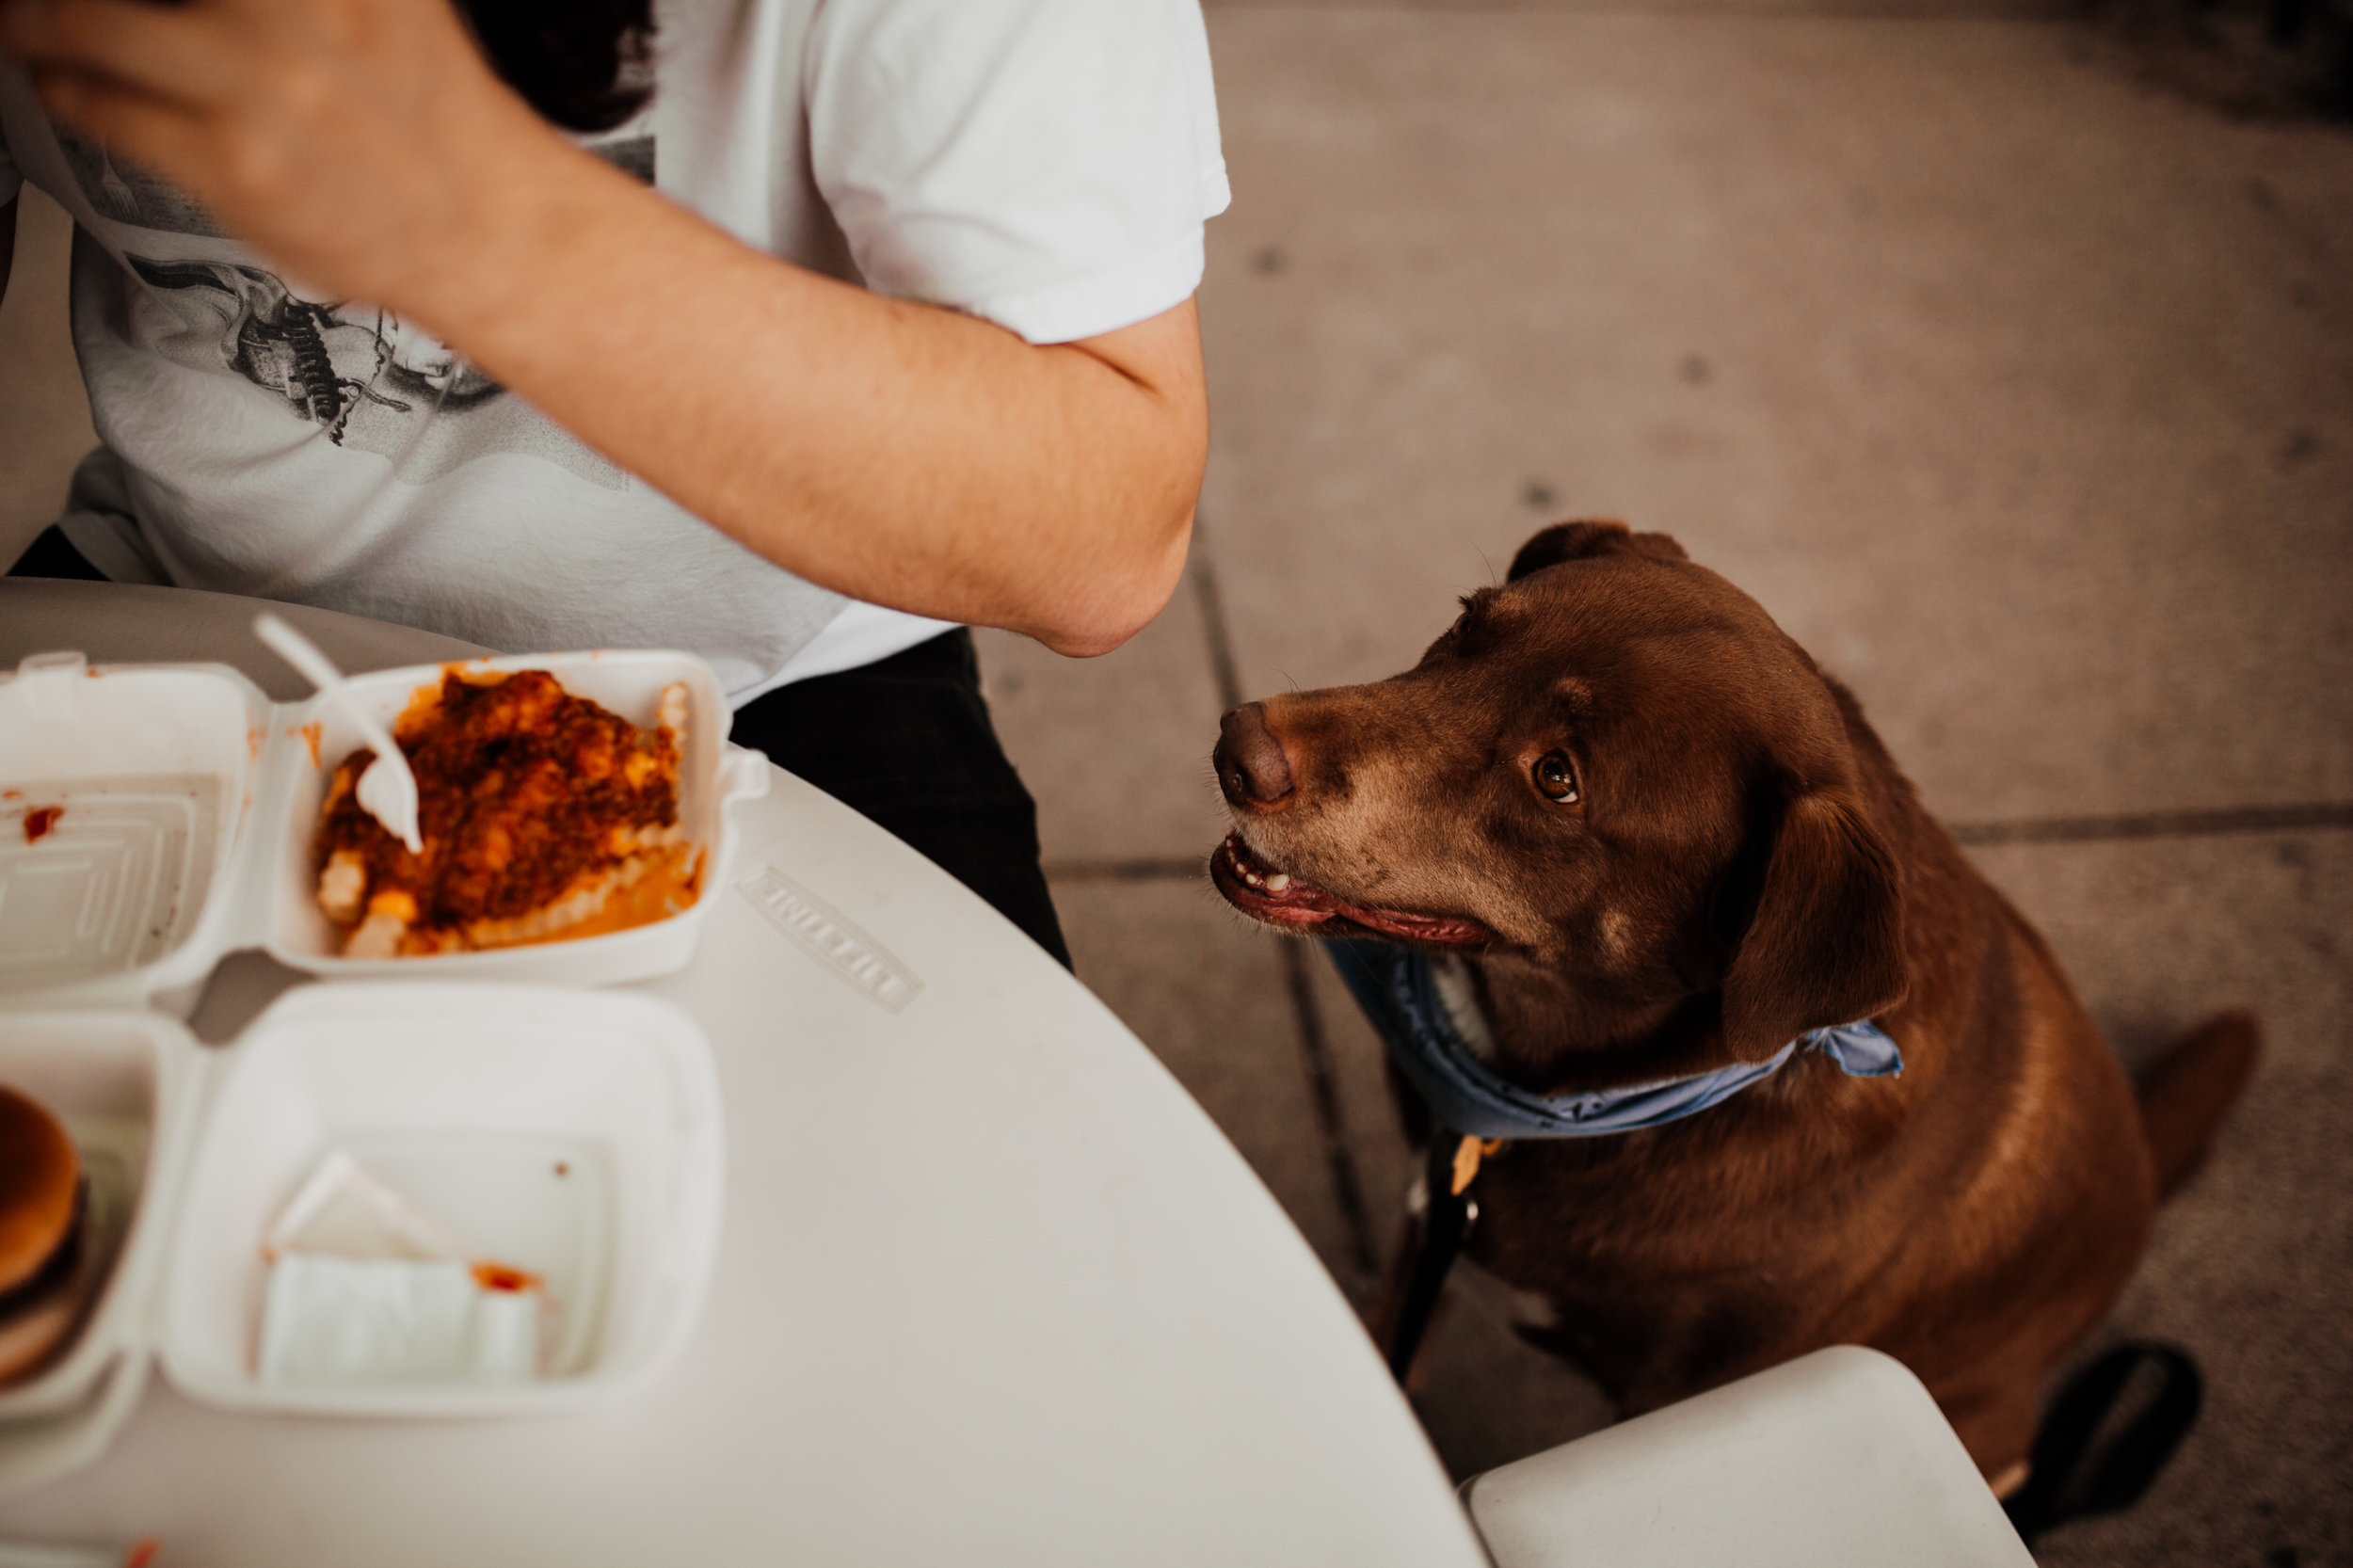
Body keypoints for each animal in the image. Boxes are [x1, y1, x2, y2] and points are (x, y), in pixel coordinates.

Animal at [1214, 518, 2259, 1487]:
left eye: (1557, 779)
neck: (1583, 1096)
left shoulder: (1680, 1395)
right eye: (1469, 624)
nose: (1238, 748)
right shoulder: (1423, 1232)